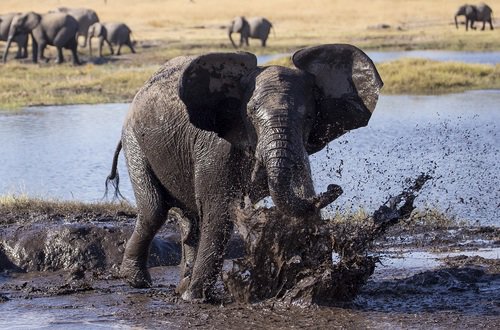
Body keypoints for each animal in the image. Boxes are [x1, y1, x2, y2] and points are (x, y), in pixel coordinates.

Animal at [106, 43, 382, 302]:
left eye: (309, 116)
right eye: (251, 114)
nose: (335, 187)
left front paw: (317, 284)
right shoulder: (216, 145)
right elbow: (219, 211)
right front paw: (196, 298)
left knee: (189, 220)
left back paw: (179, 285)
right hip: (134, 142)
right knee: (154, 211)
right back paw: (138, 282)